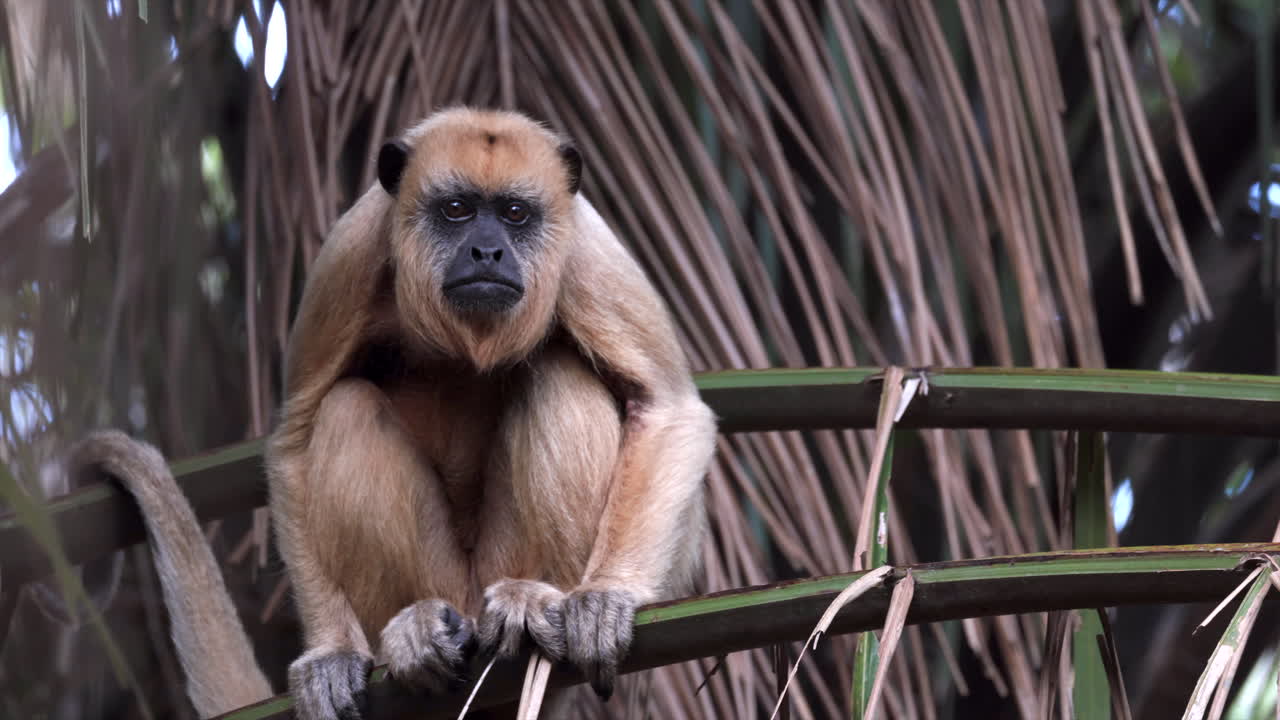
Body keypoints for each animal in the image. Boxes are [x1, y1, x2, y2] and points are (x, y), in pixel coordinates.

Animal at [265, 107, 716, 719]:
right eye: (456, 209)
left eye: (514, 213)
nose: (487, 251)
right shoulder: (348, 254)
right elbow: (295, 440)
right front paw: (331, 652)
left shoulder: (588, 253)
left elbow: (666, 408)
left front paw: (608, 594)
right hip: (451, 585)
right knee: (345, 408)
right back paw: (413, 633)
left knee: (557, 375)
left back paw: (532, 602)